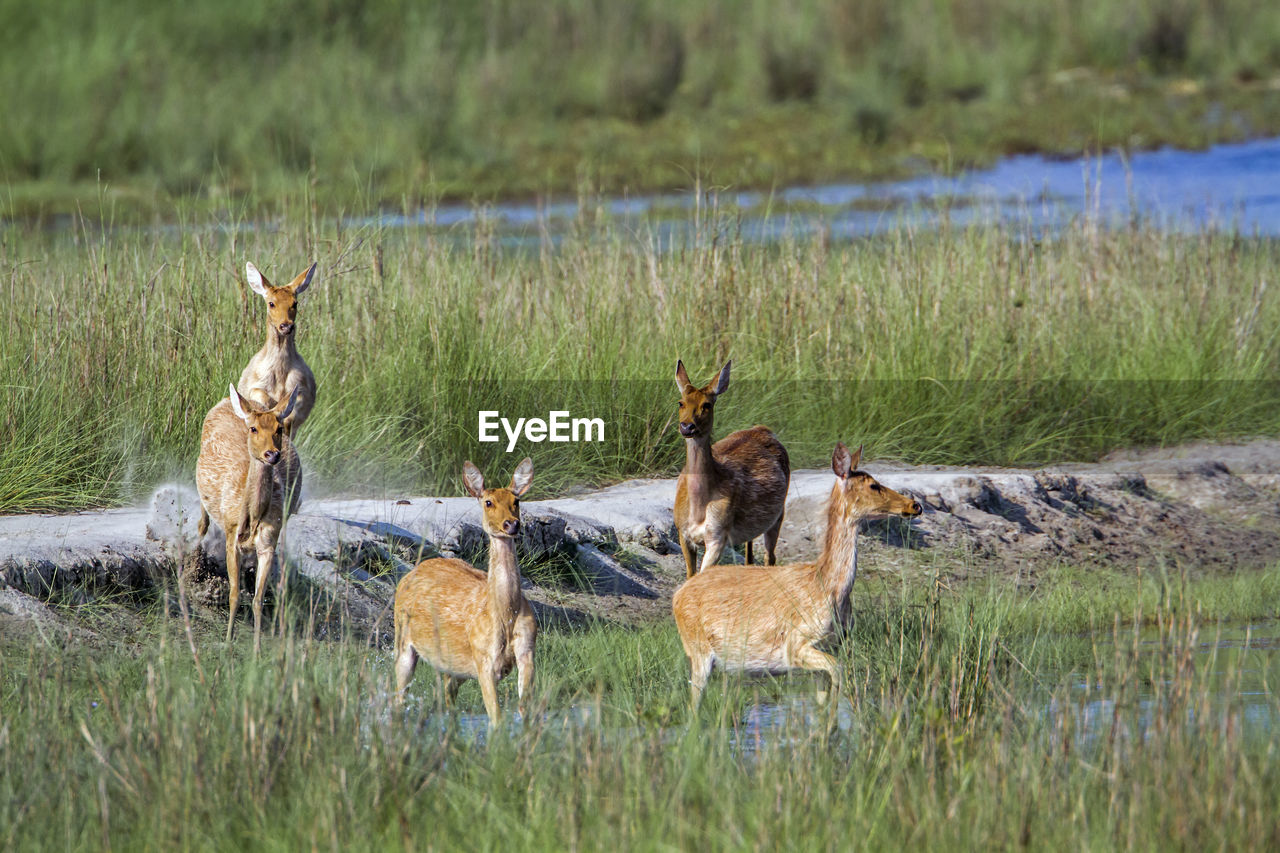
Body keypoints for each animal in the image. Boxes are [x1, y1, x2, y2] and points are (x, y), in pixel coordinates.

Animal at [194, 381, 302, 648]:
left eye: (279, 428)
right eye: (253, 428)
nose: (272, 454)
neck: (252, 518)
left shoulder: (269, 540)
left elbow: (257, 598)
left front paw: (257, 646)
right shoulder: (231, 533)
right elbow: (233, 594)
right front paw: (227, 639)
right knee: (202, 520)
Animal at [240, 261, 320, 438]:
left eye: (295, 303)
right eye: (271, 303)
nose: (286, 326)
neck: (280, 372)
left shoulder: (301, 388)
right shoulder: (255, 386)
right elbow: (261, 396)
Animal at [391, 458, 537, 722]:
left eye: (517, 501)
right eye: (488, 502)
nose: (512, 524)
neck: (505, 616)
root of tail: (408, 575)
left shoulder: (527, 649)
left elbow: (523, 709)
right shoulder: (483, 658)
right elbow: (496, 718)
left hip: (454, 665)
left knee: (446, 695)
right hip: (402, 637)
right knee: (399, 695)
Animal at [670, 358, 788, 578]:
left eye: (706, 405)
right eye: (681, 402)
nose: (687, 427)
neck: (698, 509)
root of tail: (765, 429)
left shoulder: (718, 534)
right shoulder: (682, 531)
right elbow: (690, 577)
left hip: (779, 513)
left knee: (770, 557)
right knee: (750, 558)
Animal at [670, 440, 921, 706]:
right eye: (873, 484)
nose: (914, 505)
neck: (828, 587)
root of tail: (677, 596)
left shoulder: (833, 644)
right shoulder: (795, 645)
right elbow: (838, 672)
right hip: (698, 650)